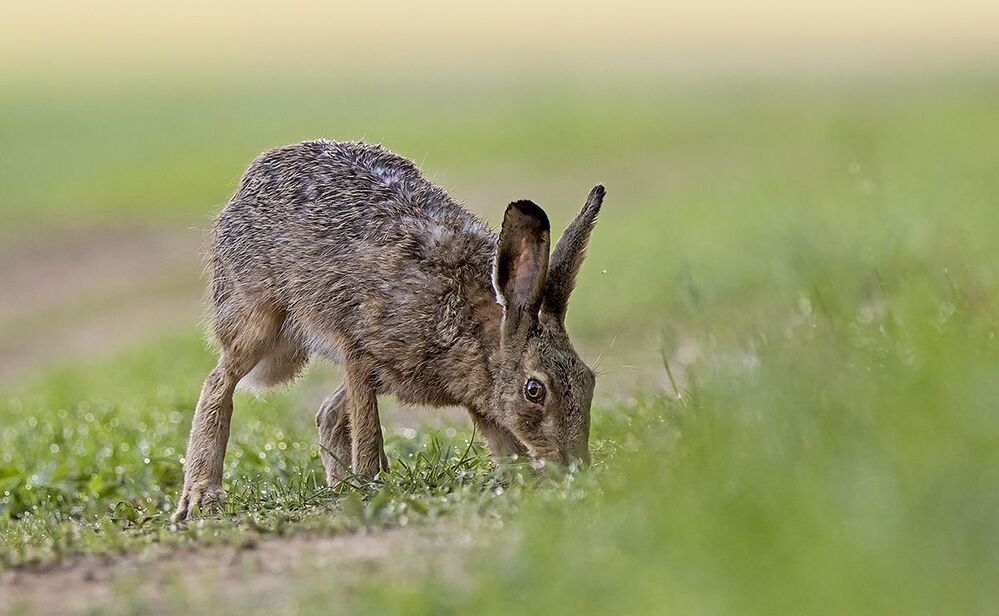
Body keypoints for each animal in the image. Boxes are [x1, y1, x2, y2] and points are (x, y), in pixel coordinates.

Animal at [172, 140, 604, 522]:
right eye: (535, 390)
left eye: (590, 381)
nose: (575, 467)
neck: (475, 326)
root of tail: (247, 185)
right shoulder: (358, 347)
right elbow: (367, 429)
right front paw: (369, 482)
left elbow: (500, 439)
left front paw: (519, 478)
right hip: (258, 319)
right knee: (220, 383)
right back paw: (202, 497)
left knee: (328, 413)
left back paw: (336, 487)